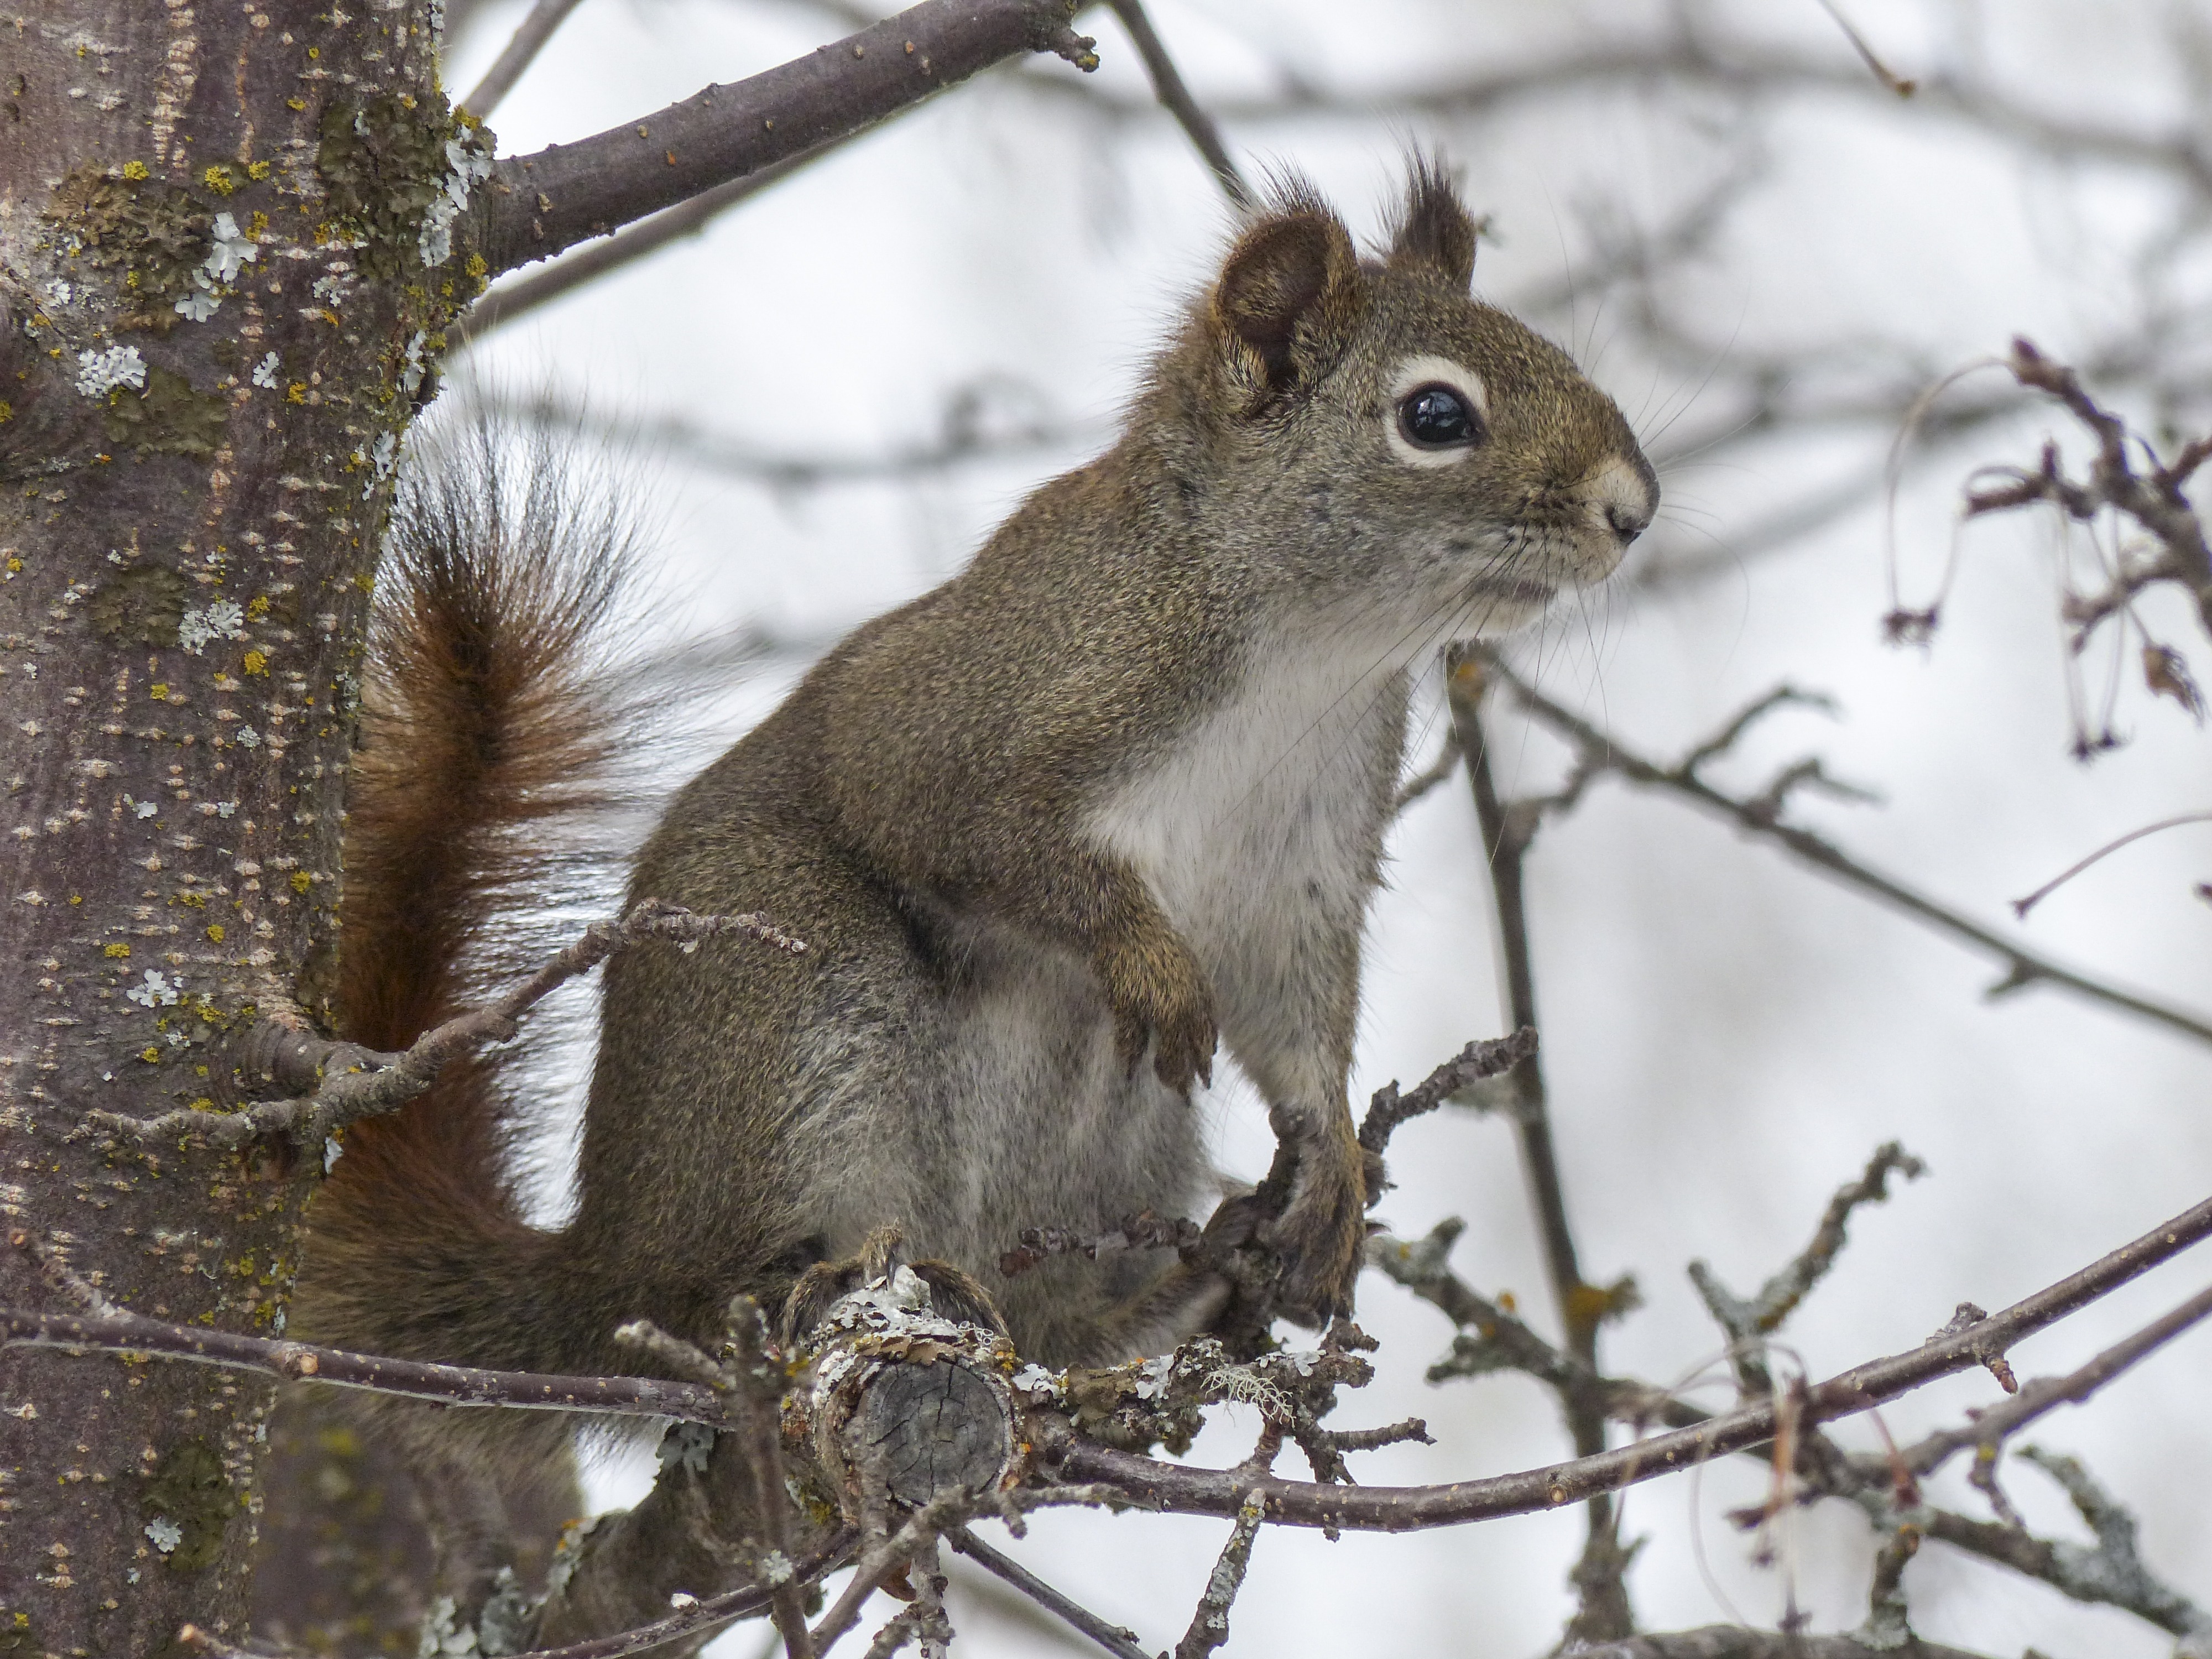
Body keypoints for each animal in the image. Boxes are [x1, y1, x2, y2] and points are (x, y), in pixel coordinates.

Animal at [290, 159, 1646, 1504]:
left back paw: (1174, 1294)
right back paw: (807, 1290)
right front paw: (1146, 956)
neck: (1311, 649)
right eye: (1435, 416)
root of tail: (601, 1258)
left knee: (1046, 1323)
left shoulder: (1303, 861)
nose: (1634, 508)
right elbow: (981, 837)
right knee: (705, 1291)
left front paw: (1331, 1164)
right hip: (791, 1007)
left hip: (1115, 1141)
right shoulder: (977, 712)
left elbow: (1294, 1011)